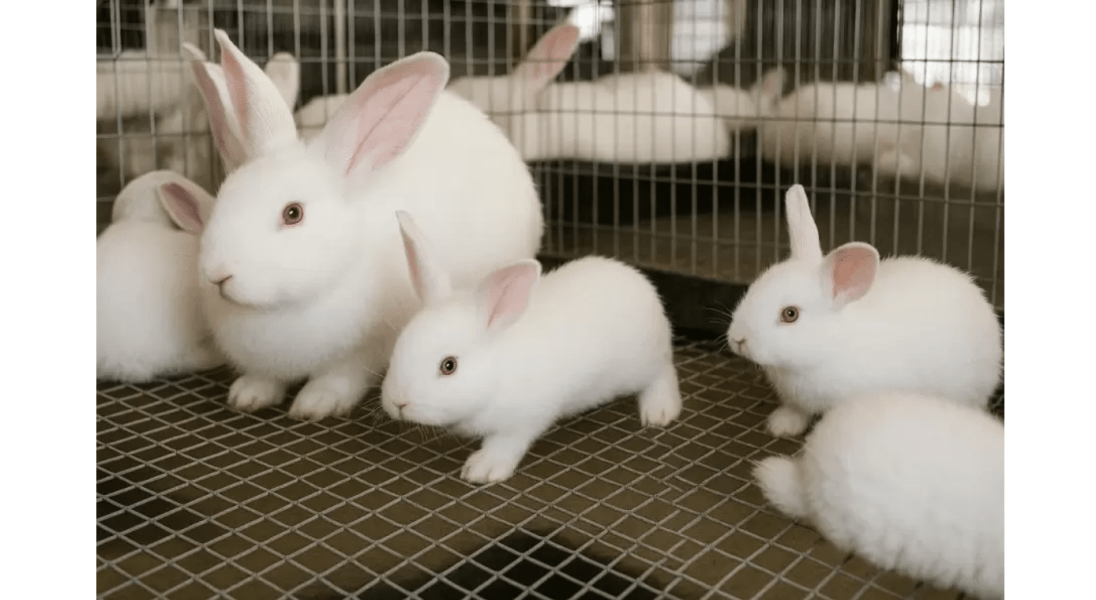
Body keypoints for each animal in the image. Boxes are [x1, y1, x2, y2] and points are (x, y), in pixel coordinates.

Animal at [160, 30, 544, 422]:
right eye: (223, 197)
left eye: (293, 213)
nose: (216, 273)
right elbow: (266, 377)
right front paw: (249, 395)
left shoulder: (369, 346)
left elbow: (342, 374)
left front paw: (316, 403)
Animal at [380, 211, 682, 484]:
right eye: (397, 346)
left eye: (449, 366)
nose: (397, 402)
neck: (496, 373)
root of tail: (639, 281)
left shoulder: (525, 419)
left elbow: (506, 443)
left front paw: (481, 470)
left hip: (644, 361)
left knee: (663, 373)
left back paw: (659, 412)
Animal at [725, 184, 1002, 437]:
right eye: (752, 288)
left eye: (790, 314)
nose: (737, 339)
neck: (827, 350)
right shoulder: (797, 400)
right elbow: (797, 411)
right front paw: (781, 426)